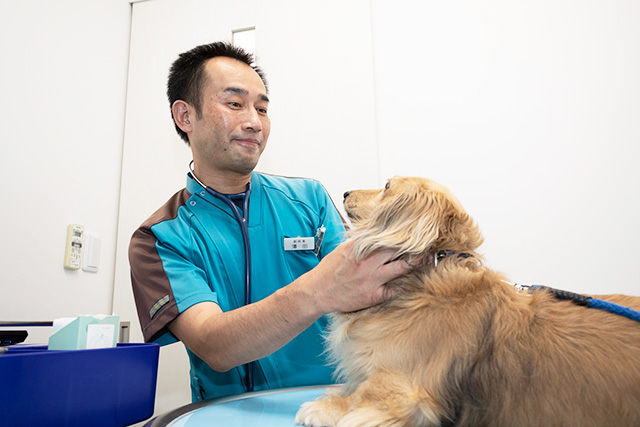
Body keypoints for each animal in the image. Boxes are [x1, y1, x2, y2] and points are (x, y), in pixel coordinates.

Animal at [296, 176, 640, 427]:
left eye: (387, 186)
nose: (344, 192)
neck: (423, 281)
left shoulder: (403, 389)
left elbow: (363, 397)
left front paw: (324, 408)